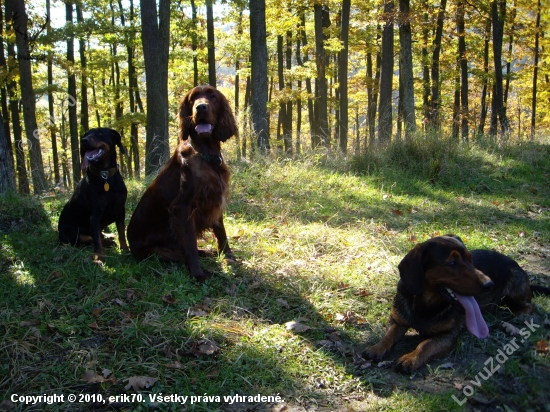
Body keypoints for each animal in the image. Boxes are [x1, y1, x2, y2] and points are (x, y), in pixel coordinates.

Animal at [58, 129, 129, 262]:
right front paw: (99, 257)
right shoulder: (95, 216)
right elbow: (96, 239)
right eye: (85, 135)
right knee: (87, 238)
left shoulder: (121, 210)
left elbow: (122, 232)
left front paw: (125, 249)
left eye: (100, 133)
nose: (83, 141)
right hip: (71, 233)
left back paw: (109, 236)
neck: (105, 176)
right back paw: (108, 241)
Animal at [129, 85, 242, 282]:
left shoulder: (215, 201)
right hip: (157, 251)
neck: (206, 155)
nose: (201, 107)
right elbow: (190, 244)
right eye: (192, 99)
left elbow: (221, 232)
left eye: (212, 96)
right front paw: (198, 274)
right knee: (180, 253)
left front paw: (228, 255)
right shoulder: (182, 208)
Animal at [364, 235, 548, 374]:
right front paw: (376, 348)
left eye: (470, 259)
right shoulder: (397, 321)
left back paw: (518, 316)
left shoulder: (449, 334)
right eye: (452, 263)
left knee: (529, 305)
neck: (425, 306)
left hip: (515, 286)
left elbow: (425, 344)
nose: (489, 284)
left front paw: (411, 358)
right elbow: (388, 336)